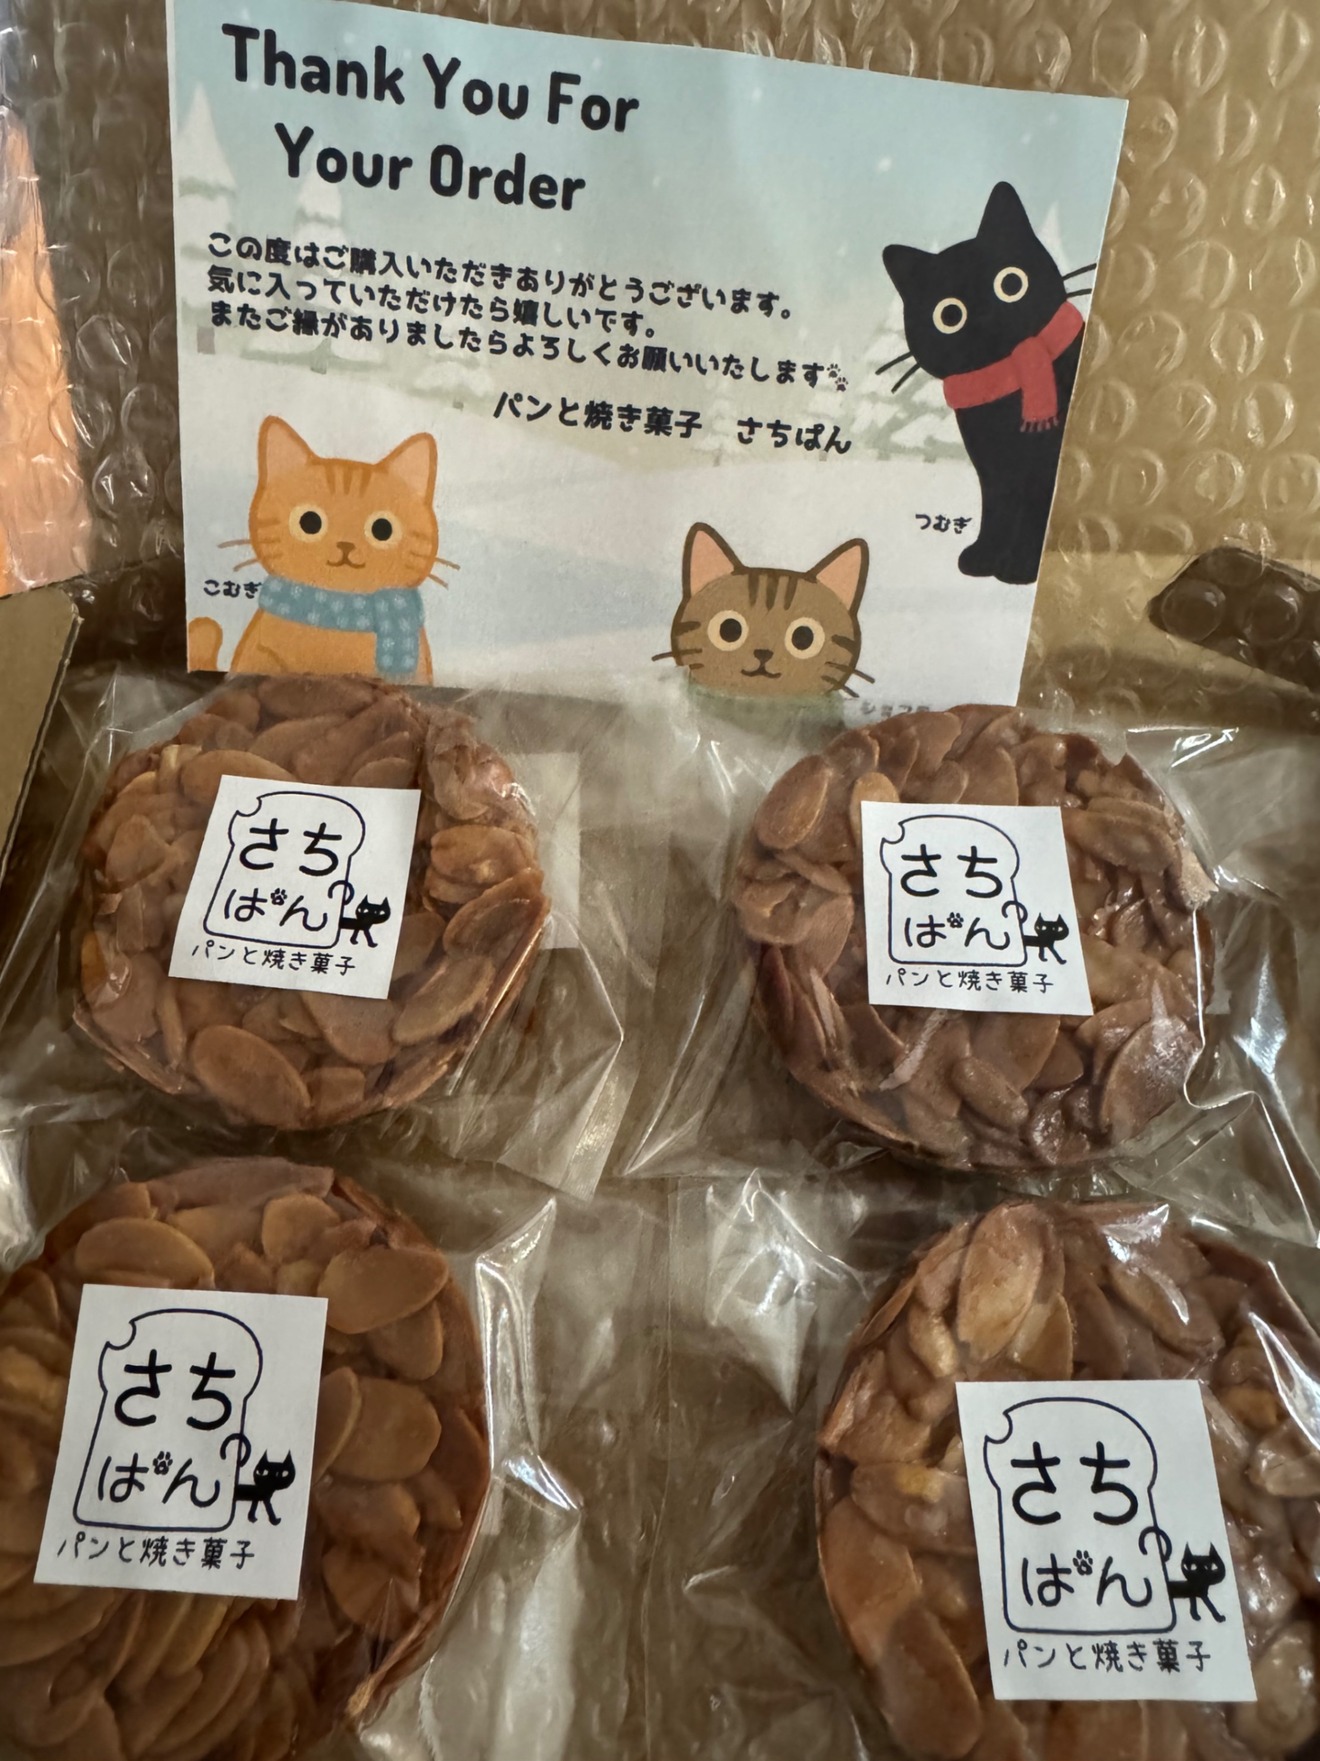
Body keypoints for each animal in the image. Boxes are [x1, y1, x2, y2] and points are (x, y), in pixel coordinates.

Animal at [882, 182, 1089, 586]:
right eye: (949, 315)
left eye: (1011, 283)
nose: (990, 320)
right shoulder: (995, 473)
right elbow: (996, 514)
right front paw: (984, 558)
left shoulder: (1041, 471)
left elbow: (1032, 517)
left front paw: (1019, 567)